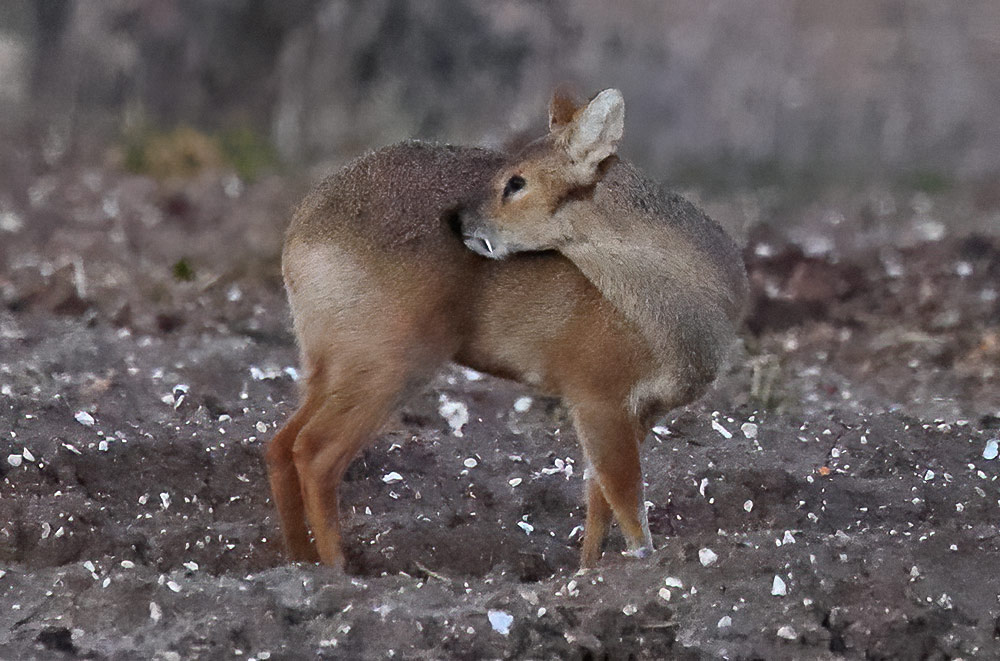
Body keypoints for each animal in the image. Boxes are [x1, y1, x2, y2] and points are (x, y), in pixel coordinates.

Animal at [267, 88, 748, 571]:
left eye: (517, 182)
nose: (459, 220)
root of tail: (301, 234)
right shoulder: (596, 396)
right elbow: (628, 505)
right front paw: (641, 567)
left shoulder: (639, 412)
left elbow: (600, 502)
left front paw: (588, 571)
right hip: (390, 363)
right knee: (314, 453)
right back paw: (337, 572)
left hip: (331, 362)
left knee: (281, 445)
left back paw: (299, 560)